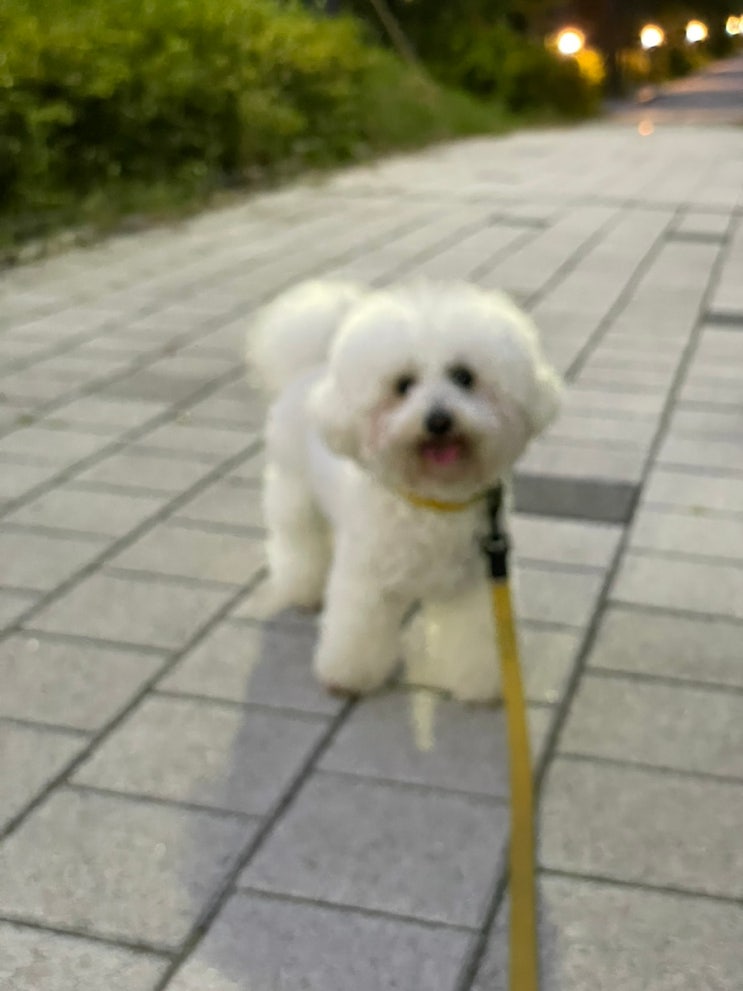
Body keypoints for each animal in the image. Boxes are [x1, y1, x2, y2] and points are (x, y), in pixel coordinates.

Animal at [247, 279, 561, 702]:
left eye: (463, 377)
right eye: (403, 385)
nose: (438, 420)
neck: (432, 499)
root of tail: (310, 367)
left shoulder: (475, 583)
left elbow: (478, 639)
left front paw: (483, 683)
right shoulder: (368, 579)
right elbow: (357, 631)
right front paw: (348, 676)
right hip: (294, 490)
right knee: (299, 542)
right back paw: (303, 590)